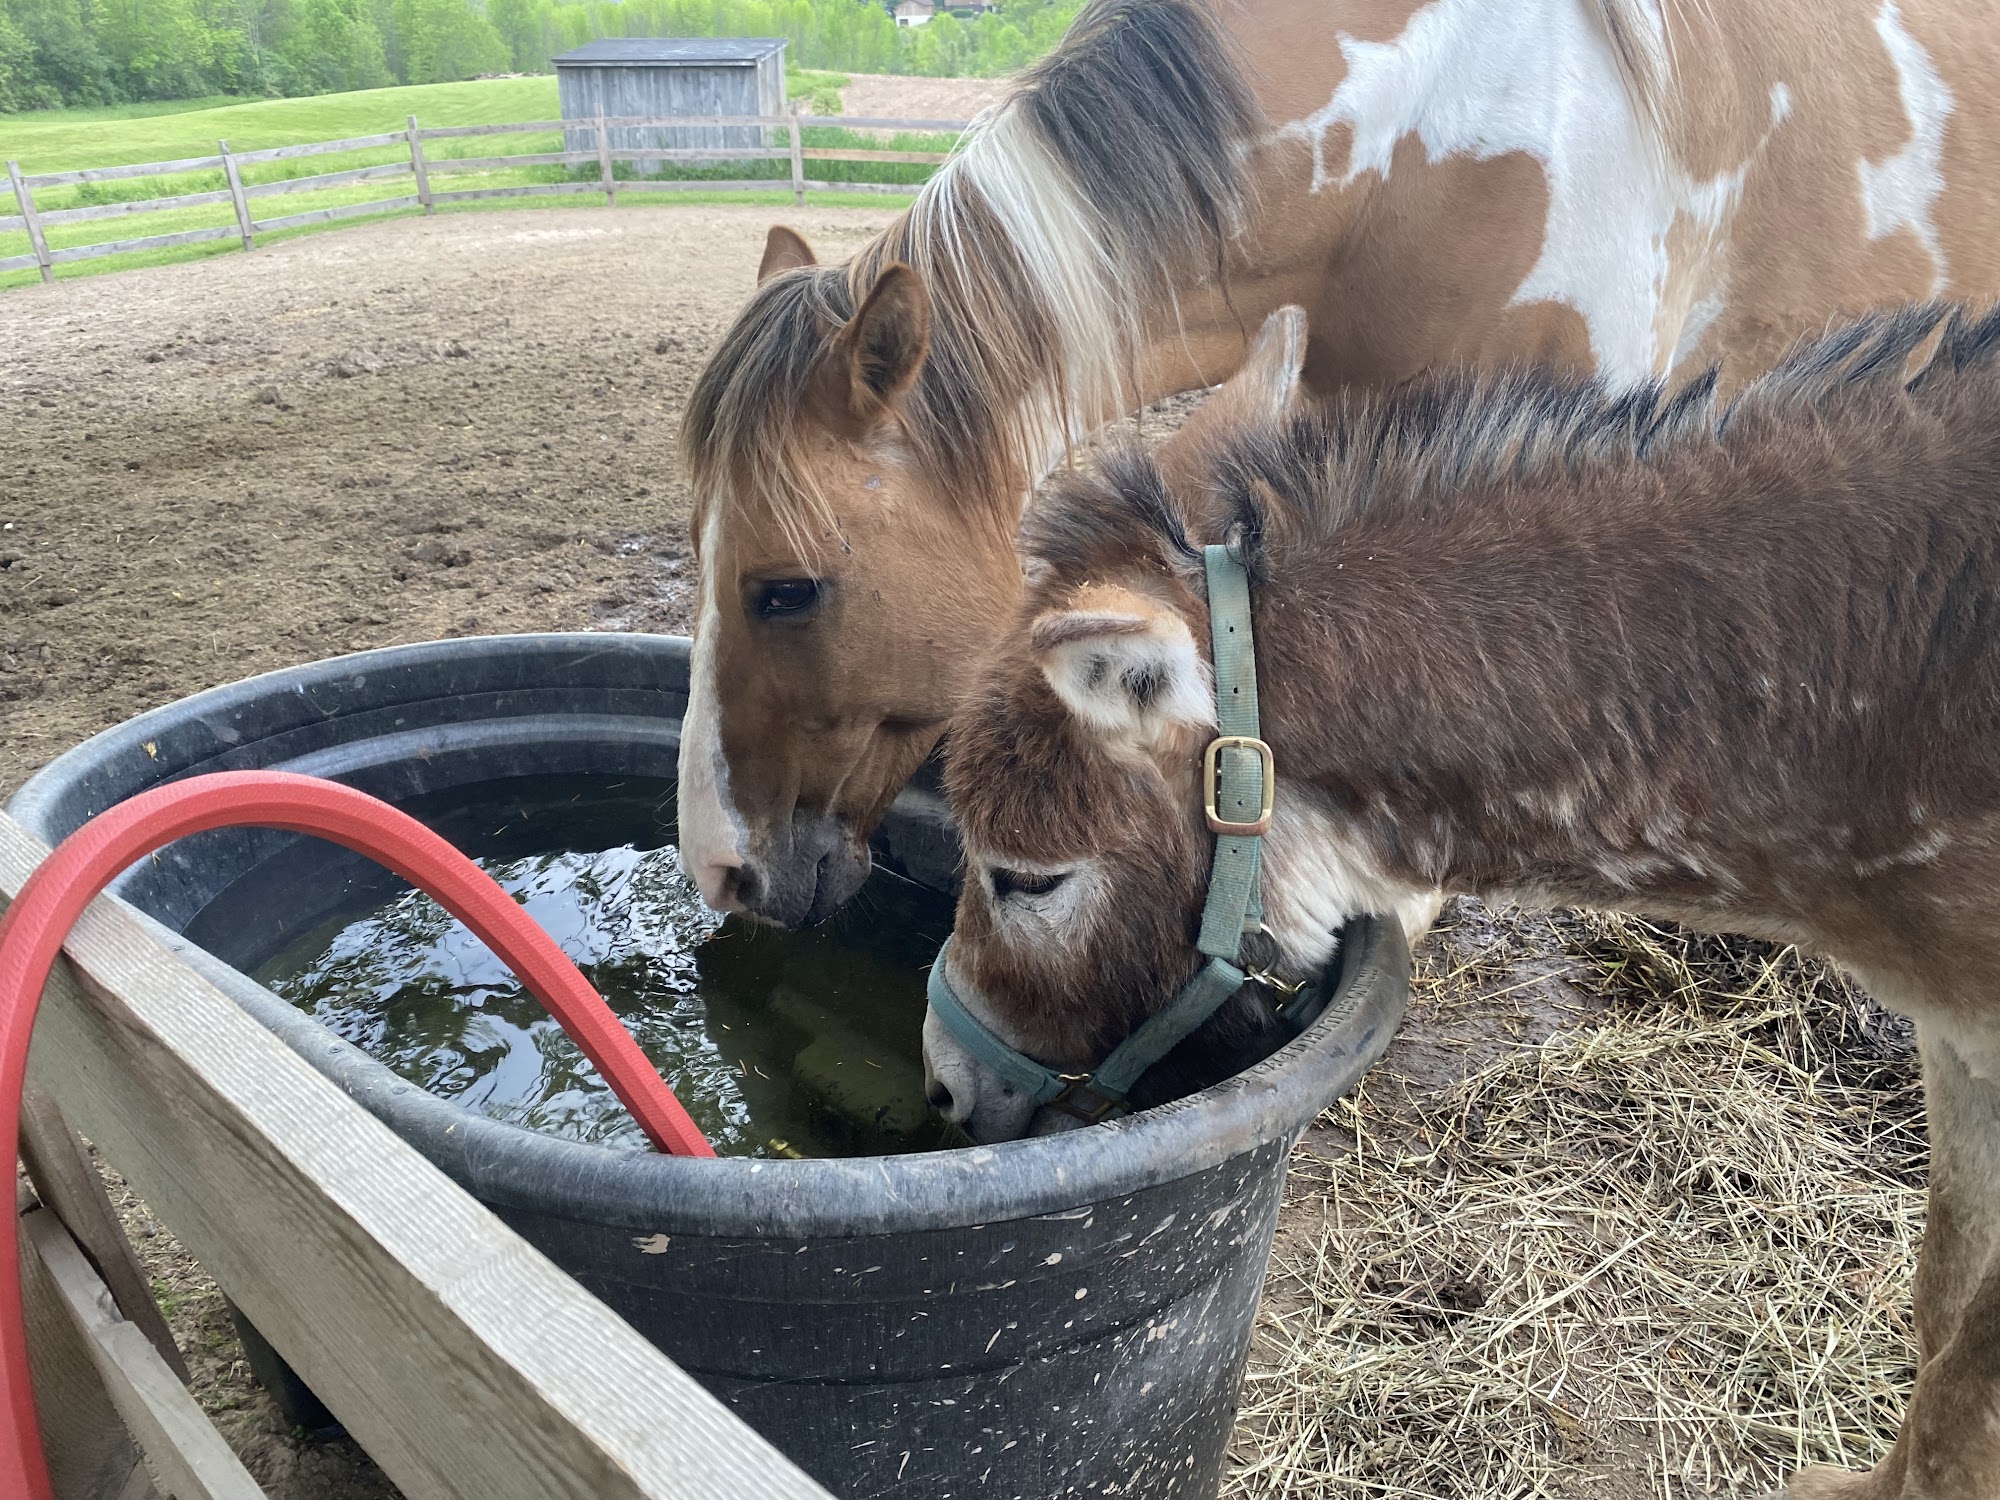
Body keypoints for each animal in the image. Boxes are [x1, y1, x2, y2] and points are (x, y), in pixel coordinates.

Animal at [928, 306, 2000, 1500]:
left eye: (1027, 878)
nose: (941, 1077)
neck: (1874, 678)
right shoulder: (1955, 1037)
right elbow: (1939, 1299)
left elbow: (1969, 1380)